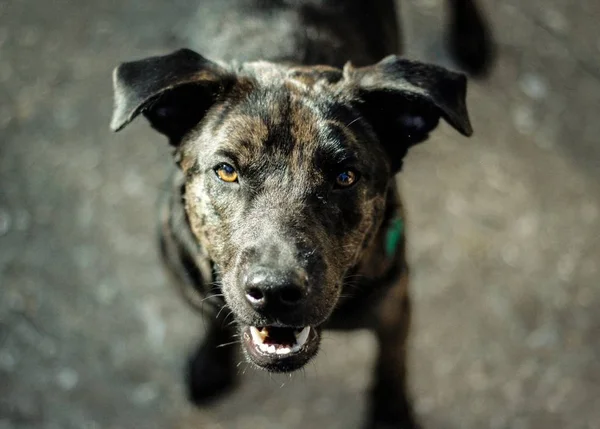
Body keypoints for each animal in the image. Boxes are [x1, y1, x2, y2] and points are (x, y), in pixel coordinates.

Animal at [108, 1, 492, 426]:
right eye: (226, 170)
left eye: (345, 176)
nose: (274, 292)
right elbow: (216, 314)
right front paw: (211, 363)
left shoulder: (394, 300)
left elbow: (391, 364)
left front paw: (391, 416)